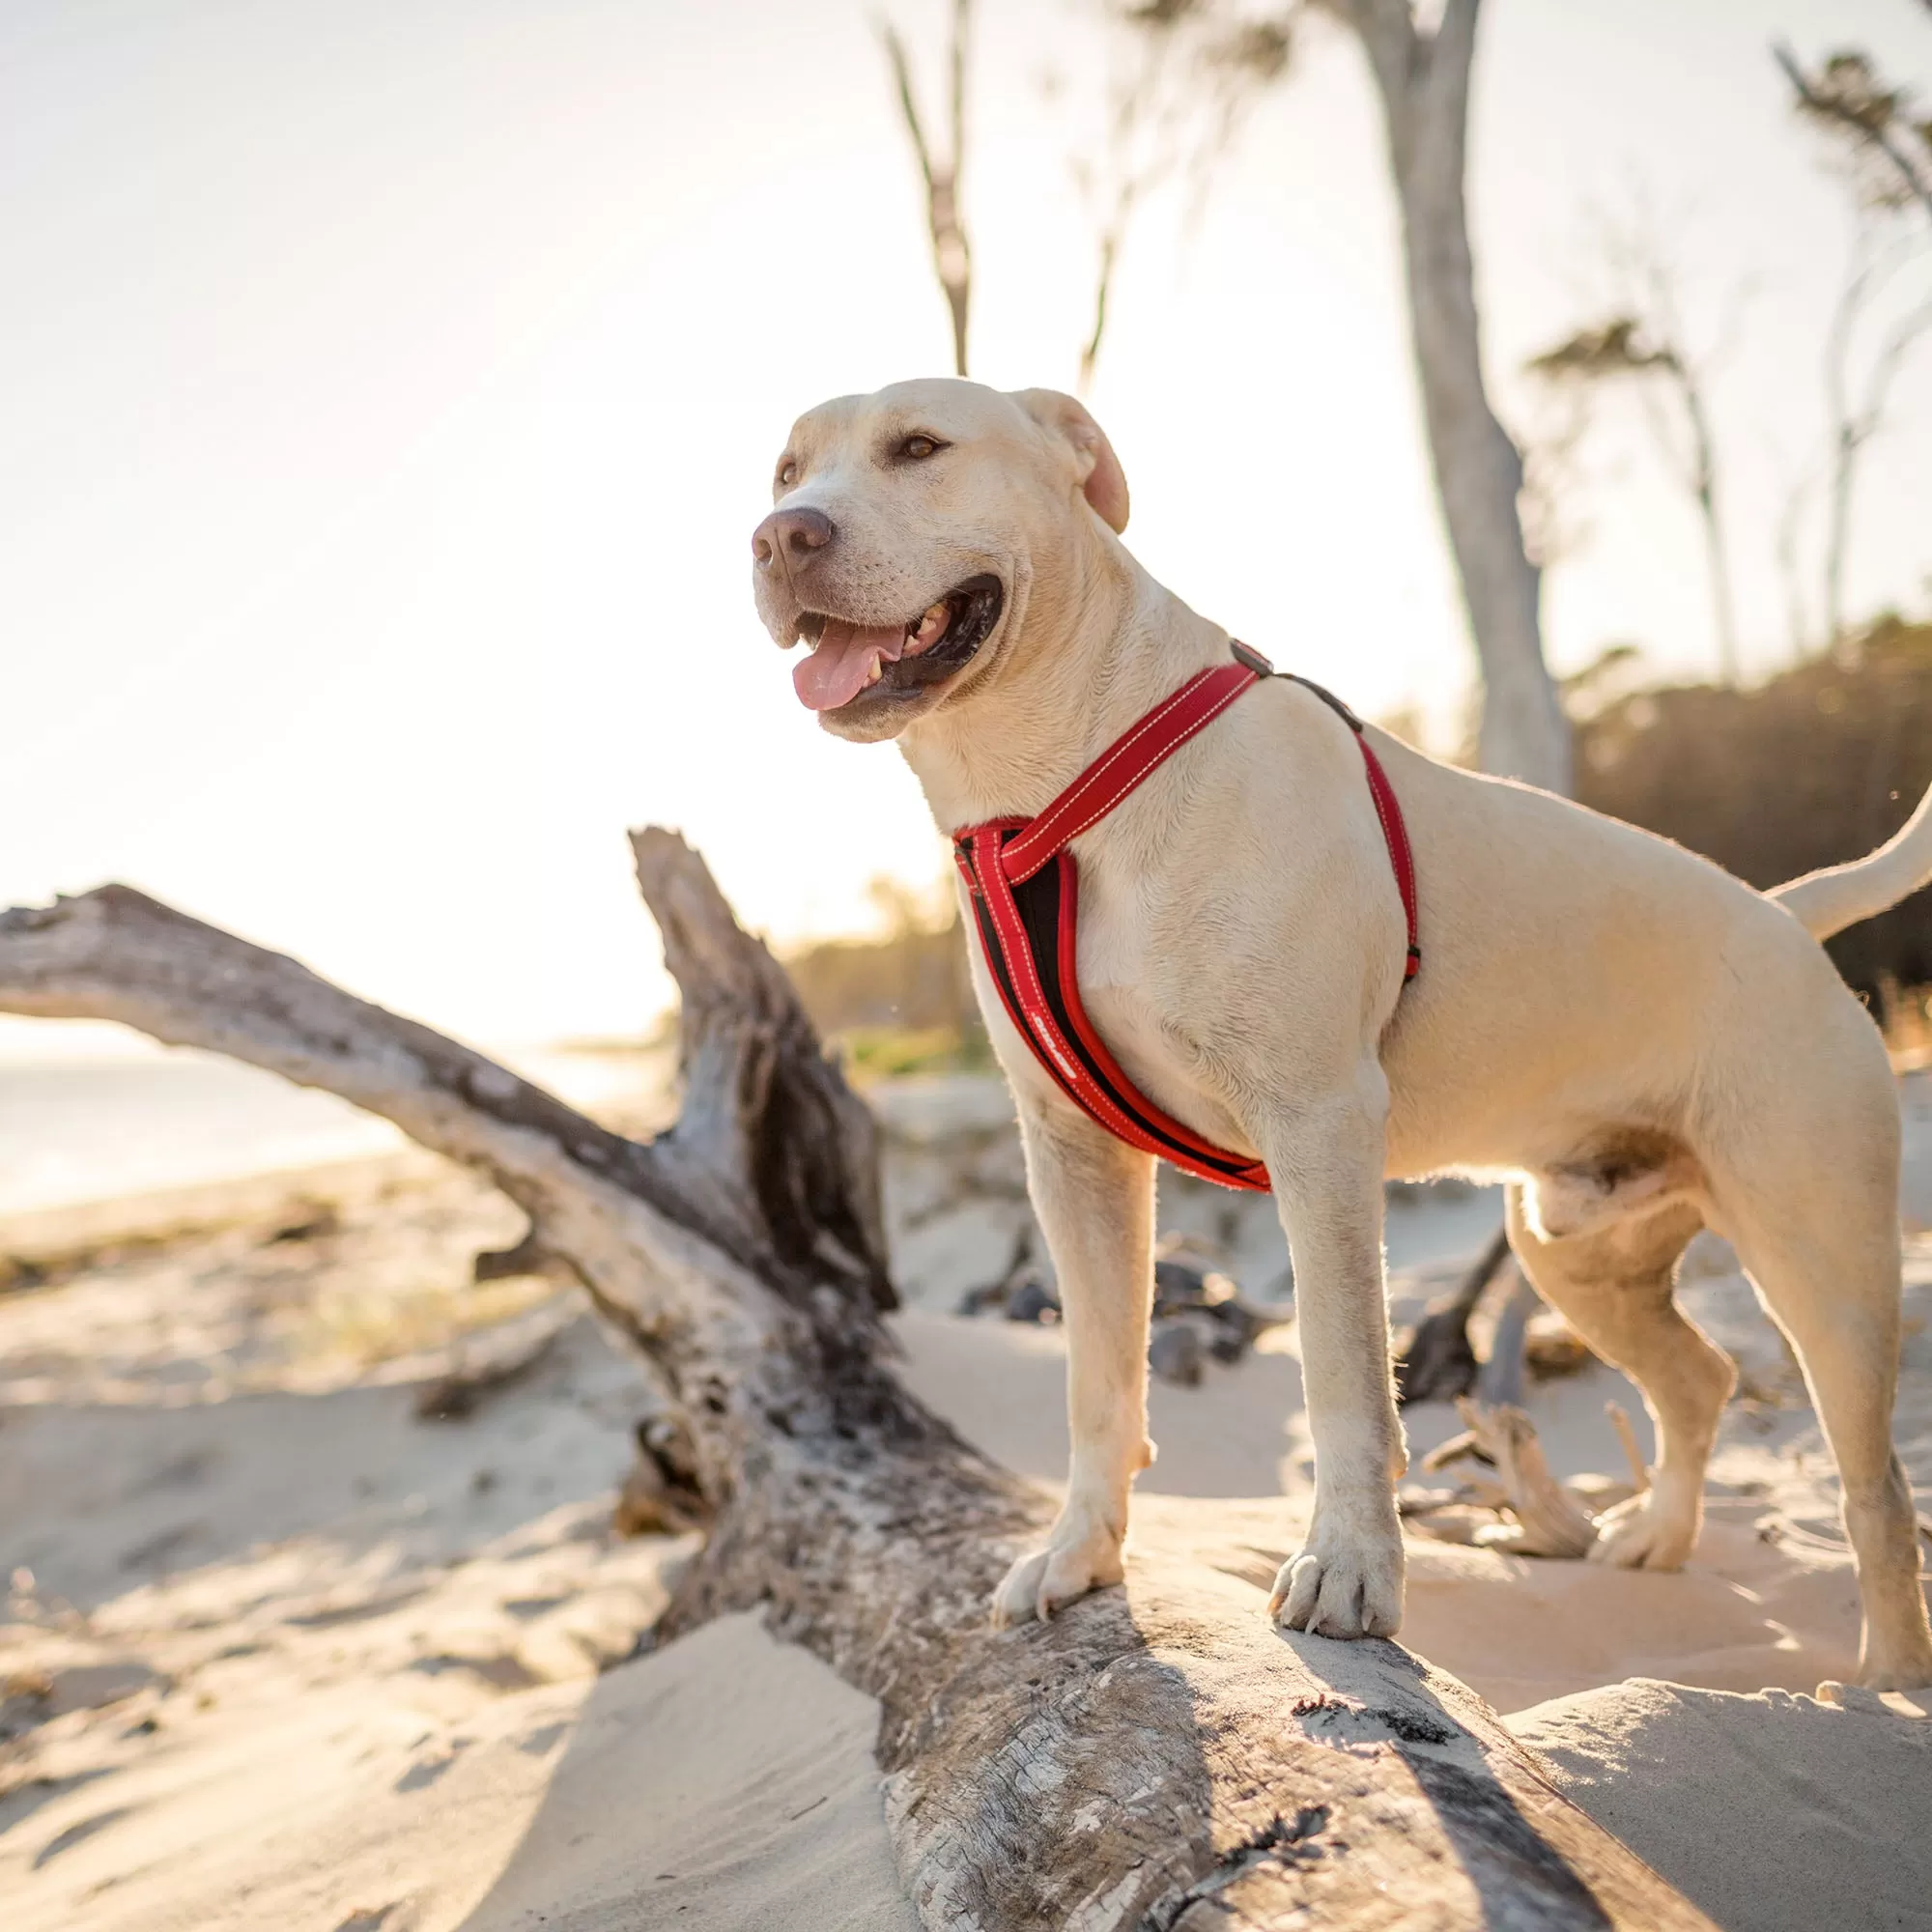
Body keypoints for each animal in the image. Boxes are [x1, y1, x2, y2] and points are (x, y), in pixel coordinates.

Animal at [746, 377, 1932, 1692]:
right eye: (785, 469)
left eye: (919, 447)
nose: (780, 537)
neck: (1066, 776)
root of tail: (1786, 913)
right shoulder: (1072, 1155)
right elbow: (1097, 1376)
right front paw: (1078, 1554)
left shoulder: (1316, 1125)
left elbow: (1342, 1367)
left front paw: (1351, 1569)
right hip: (1572, 1249)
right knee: (1698, 1378)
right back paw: (1660, 1537)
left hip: (1818, 1263)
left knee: (1872, 1482)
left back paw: (1884, 1677)